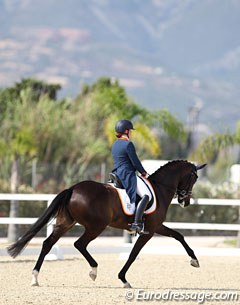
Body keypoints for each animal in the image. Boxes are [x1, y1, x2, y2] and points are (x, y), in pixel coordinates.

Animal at [7, 159, 206, 288]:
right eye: (194, 178)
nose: (185, 202)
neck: (159, 188)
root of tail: (72, 189)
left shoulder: (156, 227)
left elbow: (178, 235)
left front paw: (194, 260)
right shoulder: (149, 231)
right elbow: (133, 254)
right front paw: (123, 279)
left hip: (66, 224)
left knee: (48, 244)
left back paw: (35, 278)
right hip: (96, 227)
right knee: (79, 244)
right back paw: (93, 271)